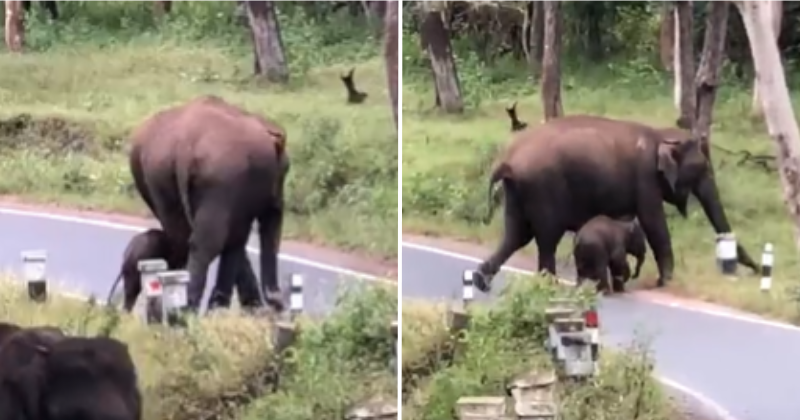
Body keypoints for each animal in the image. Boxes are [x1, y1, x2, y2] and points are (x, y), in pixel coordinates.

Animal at [125, 95, 288, 312]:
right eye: (286, 171)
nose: (278, 305)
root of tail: (184, 144)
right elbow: (238, 236)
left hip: (156, 172)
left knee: (180, 237)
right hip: (220, 176)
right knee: (207, 242)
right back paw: (187, 307)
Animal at [472, 115, 760, 292]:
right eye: (701, 169)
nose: (758, 270)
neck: (660, 134)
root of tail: (506, 162)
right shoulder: (645, 178)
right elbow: (654, 223)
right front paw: (665, 282)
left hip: (517, 191)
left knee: (516, 236)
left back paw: (480, 280)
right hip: (543, 188)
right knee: (545, 238)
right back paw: (548, 285)